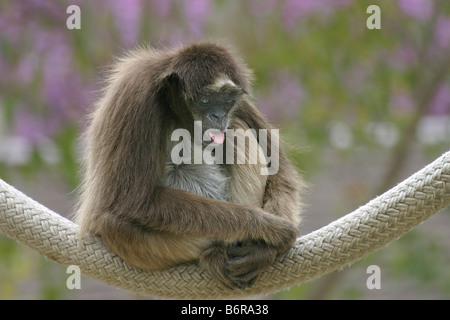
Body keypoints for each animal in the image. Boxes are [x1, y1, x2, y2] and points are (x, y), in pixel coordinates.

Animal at [76, 40, 302, 290]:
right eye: (205, 100)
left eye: (227, 101)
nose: (218, 116)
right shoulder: (138, 93)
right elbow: (132, 200)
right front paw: (265, 226)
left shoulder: (238, 106)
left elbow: (283, 176)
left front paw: (262, 251)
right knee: (113, 223)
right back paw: (213, 254)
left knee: (236, 126)